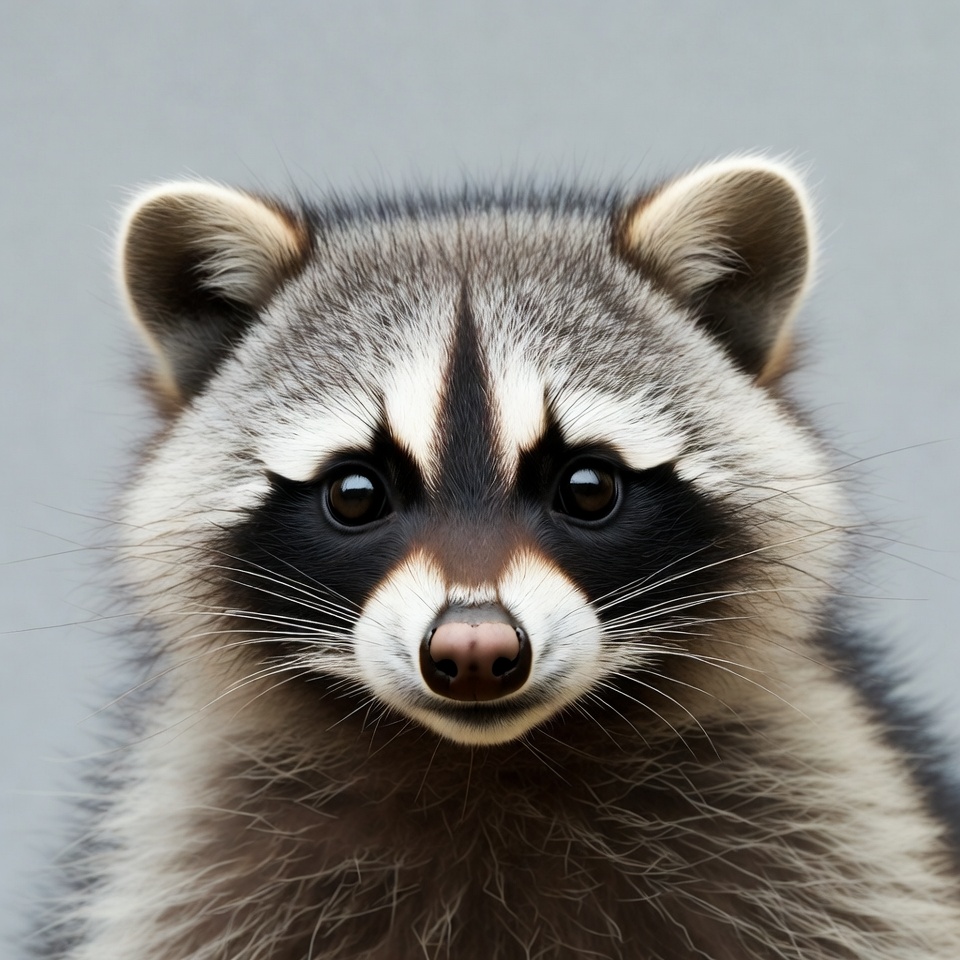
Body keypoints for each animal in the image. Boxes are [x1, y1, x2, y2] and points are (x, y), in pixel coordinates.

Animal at [38, 158, 960, 959]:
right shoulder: (192, 866)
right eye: (356, 494)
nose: (475, 651)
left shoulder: (835, 829)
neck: (486, 763)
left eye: (587, 487)